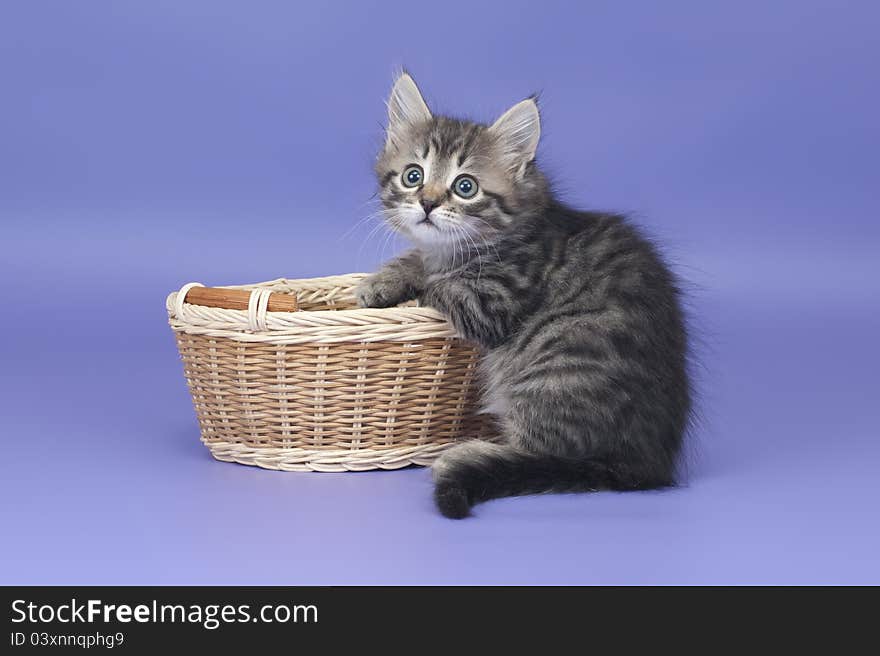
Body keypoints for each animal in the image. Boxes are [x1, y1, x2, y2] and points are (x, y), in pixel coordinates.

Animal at [354, 73, 692, 516]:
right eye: (413, 176)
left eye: (465, 187)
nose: (427, 203)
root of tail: (644, 465)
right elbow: (418, 260)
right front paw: (380, 282)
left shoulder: (492, 300)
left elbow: (439, 283)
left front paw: (408, 281)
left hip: (552, 372)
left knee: (546, 454)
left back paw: (463, 455)